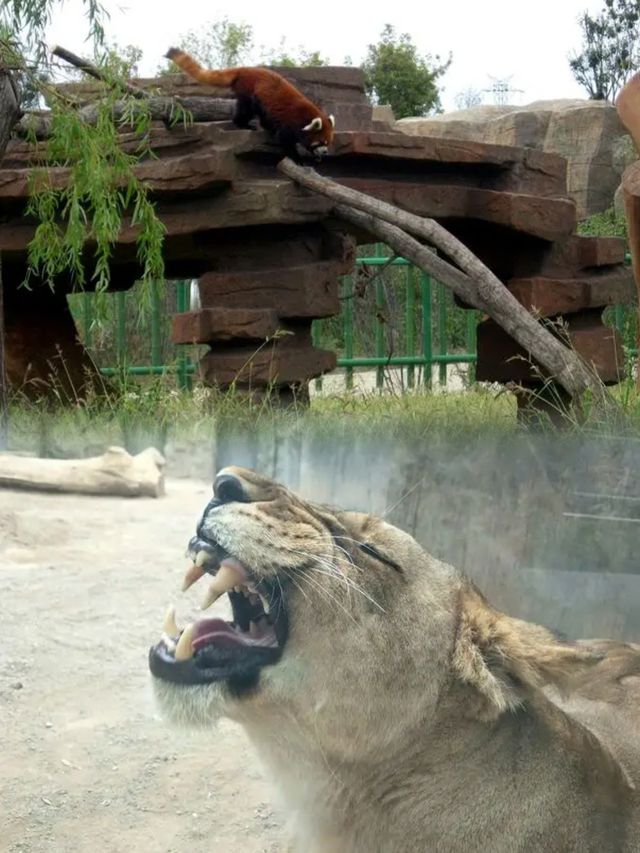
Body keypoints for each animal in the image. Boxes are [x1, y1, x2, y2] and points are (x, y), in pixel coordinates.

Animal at [165, 48, 336, 163]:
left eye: (328, 143)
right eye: (321, 142)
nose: (325, 152)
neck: (306, 116)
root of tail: (244, 69)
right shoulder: (290, 122)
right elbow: (285, 139)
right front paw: (297, 158)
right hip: (250, 91)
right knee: (246, 109)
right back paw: (244, 124)